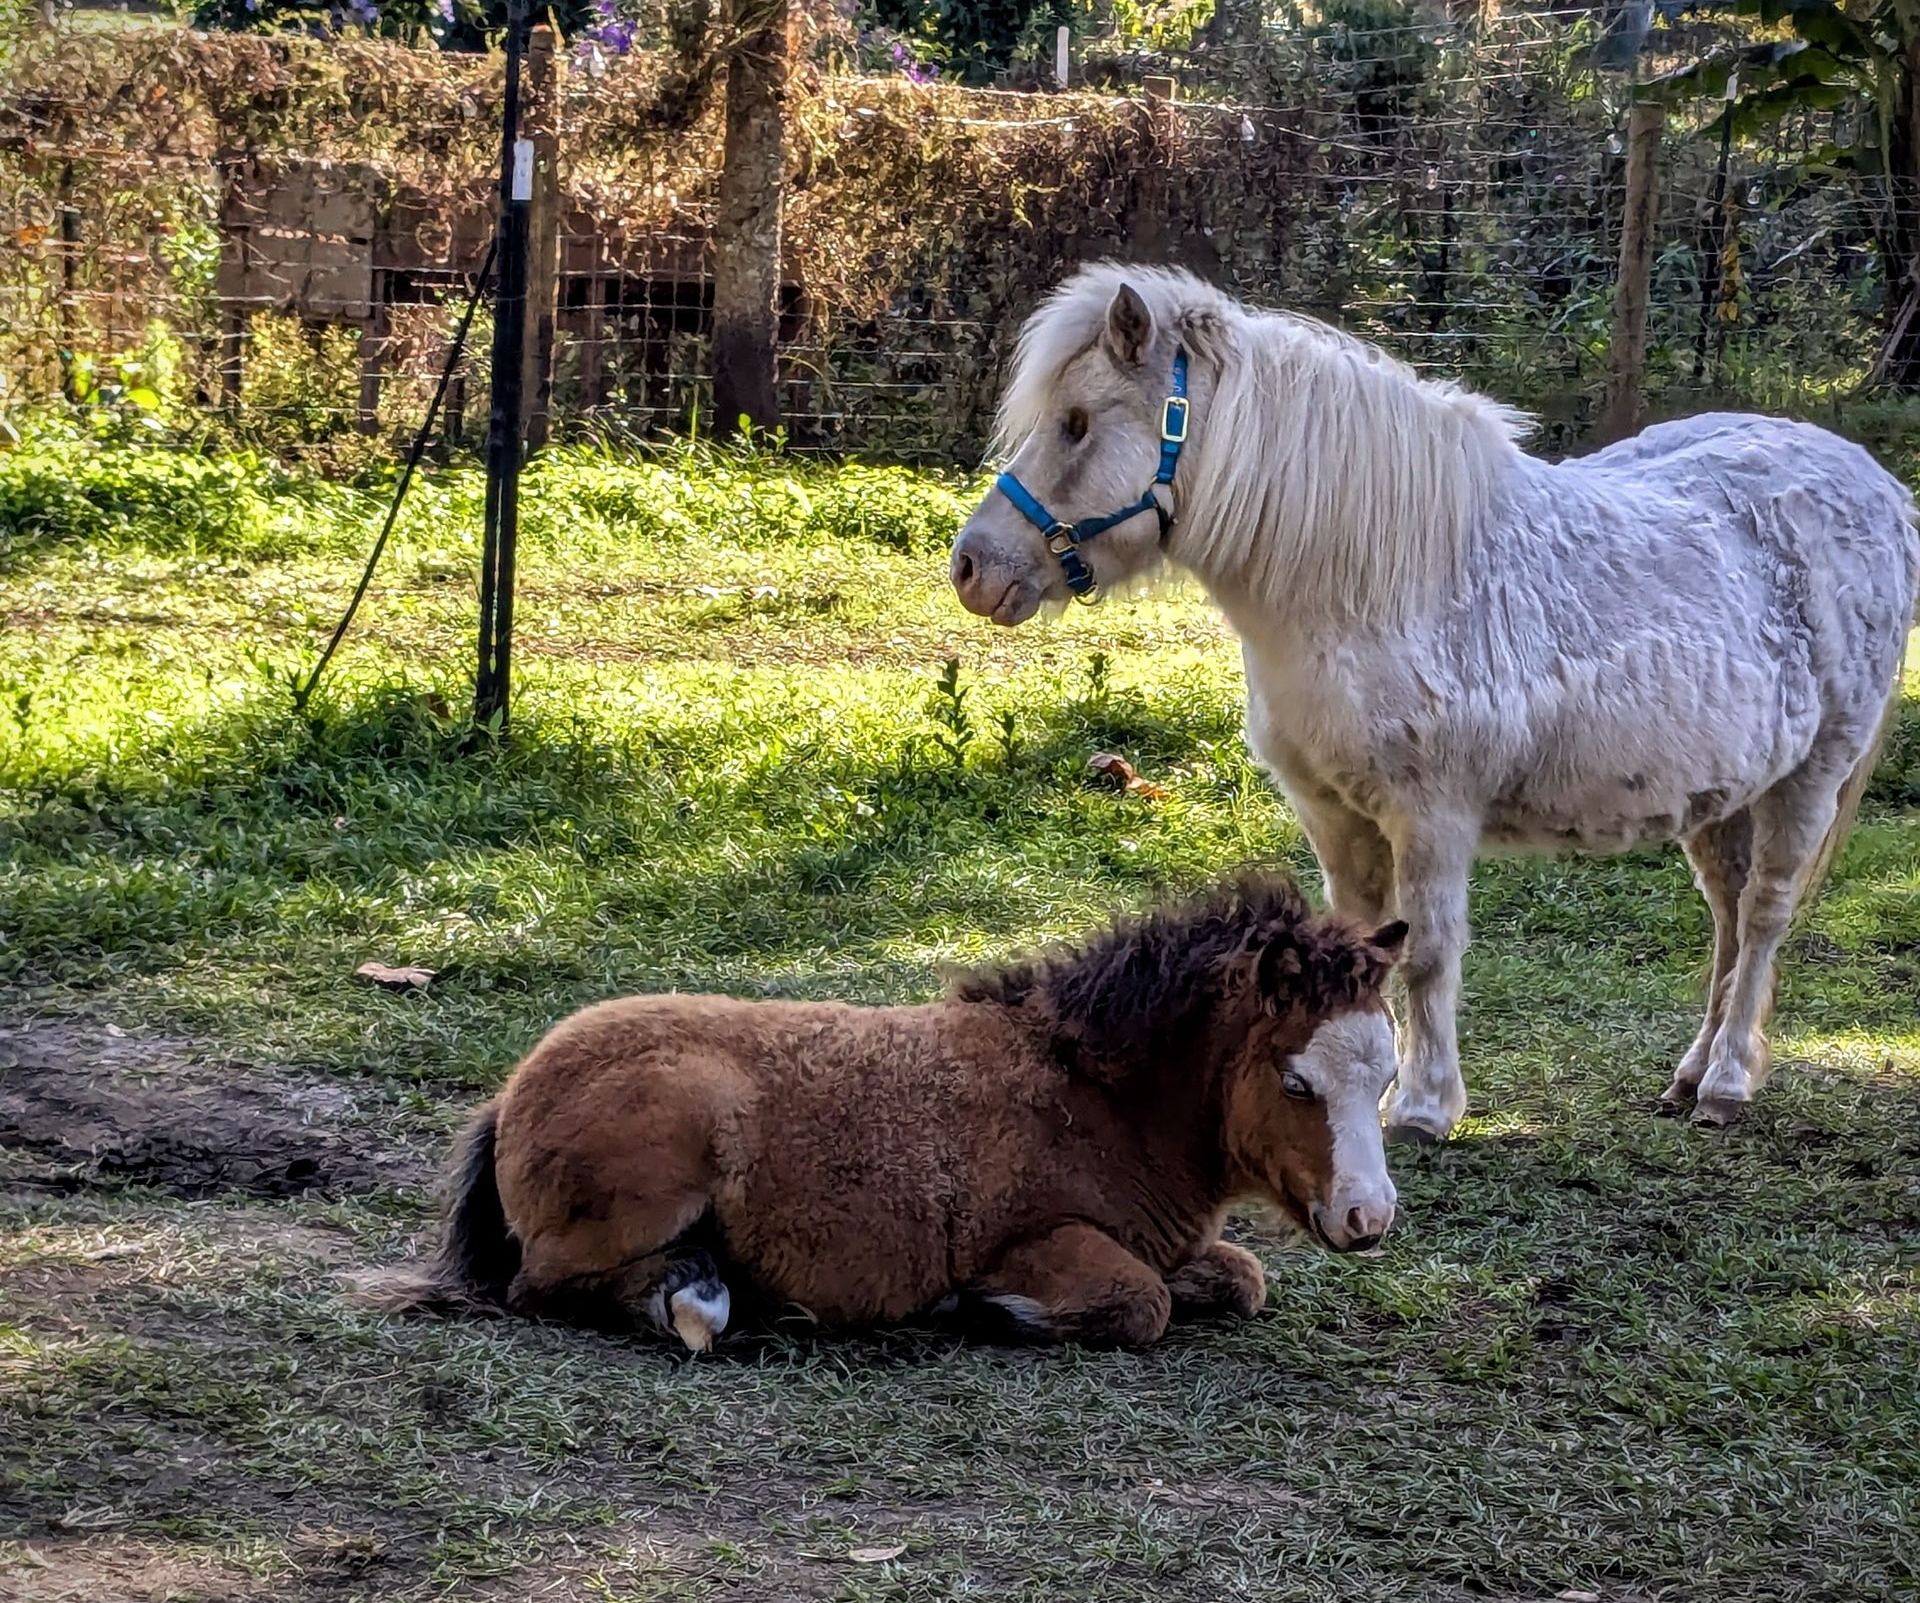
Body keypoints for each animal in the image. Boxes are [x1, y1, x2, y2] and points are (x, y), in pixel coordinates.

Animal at [358, 874, 1408, 1350]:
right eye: (1297, 1083)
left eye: (1389, 1077)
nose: (1368, 1218)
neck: (1092, 1096)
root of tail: (514, 1088)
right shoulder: (1037, 1241)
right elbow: (1137, 1302)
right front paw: (981, 1309)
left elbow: (1238, 1276)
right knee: (538, 1288)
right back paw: (697, 1297)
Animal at [950, 264, 1918, 1139]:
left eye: (1078, 423)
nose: (972, 566)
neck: (1370, 584)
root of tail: (1879, 486)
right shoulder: (1333, 814)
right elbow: (1352, 948)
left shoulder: (1432, 816)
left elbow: (1426, 955)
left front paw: (1420, 1107)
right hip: (1725, 797)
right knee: (1726, 917)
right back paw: (1688, 1074)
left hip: (1810, 778)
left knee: (1763, 916)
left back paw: (1725, 1082)